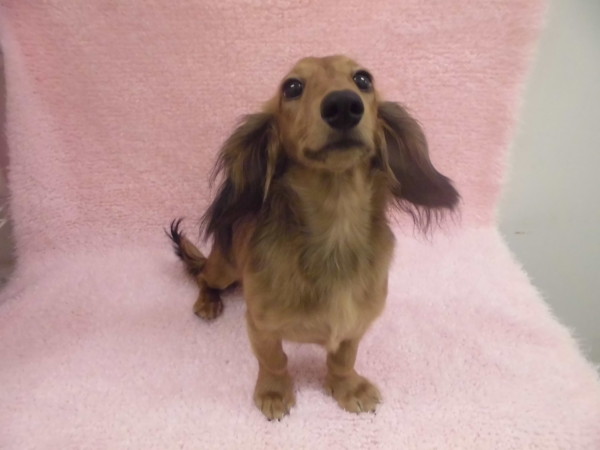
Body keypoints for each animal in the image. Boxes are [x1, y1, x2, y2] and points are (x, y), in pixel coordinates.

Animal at [168, 55, 459, 420]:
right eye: (292, 87)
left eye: (363, 79)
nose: (343, 105)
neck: (335, 232)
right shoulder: (260, 325)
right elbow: (274, 360)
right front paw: (274, 393)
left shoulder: (355, 325)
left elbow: (343, 359)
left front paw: (348, 387)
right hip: (225, 267)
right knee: (204, 278)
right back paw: (207, 302)